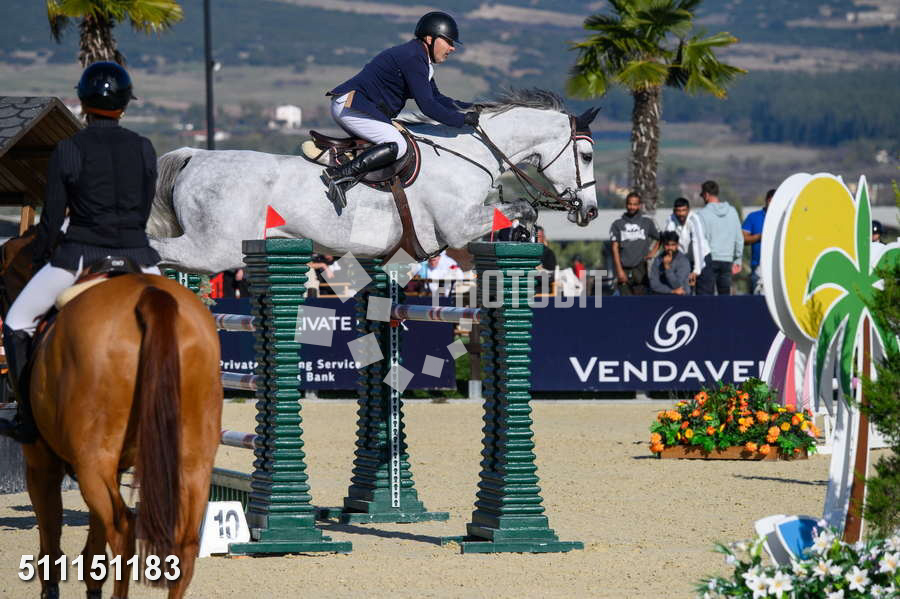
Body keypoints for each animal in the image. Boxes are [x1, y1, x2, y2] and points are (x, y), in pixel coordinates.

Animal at [2, 245, 222, 598]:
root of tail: (150, 297)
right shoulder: (113, 468)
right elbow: (94, 542)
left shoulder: (41, 465)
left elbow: (51, 535)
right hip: (194, 464)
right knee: (185, 546)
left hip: (91, 465)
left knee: (123, 531)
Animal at [147, 89, 600, 274]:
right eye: (587, 156)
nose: (591, 212)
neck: (470, 152)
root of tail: (195, 156)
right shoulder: (459, 226)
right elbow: (519, 208)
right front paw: (524, 230)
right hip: (214, 249)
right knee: (160, 253)